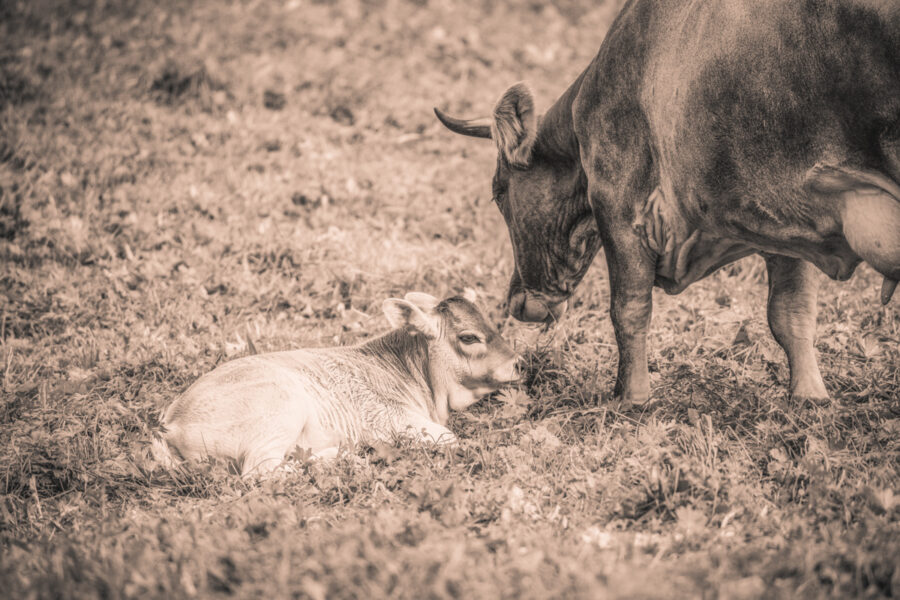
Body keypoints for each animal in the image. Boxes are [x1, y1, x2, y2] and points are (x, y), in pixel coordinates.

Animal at [434, 0, 892, 406]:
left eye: (499, 192)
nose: (516, 302)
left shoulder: (620, 205)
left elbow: (629, 309)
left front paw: (631, 398)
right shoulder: (782, 220)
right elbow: (791, 312)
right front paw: (809, 396)